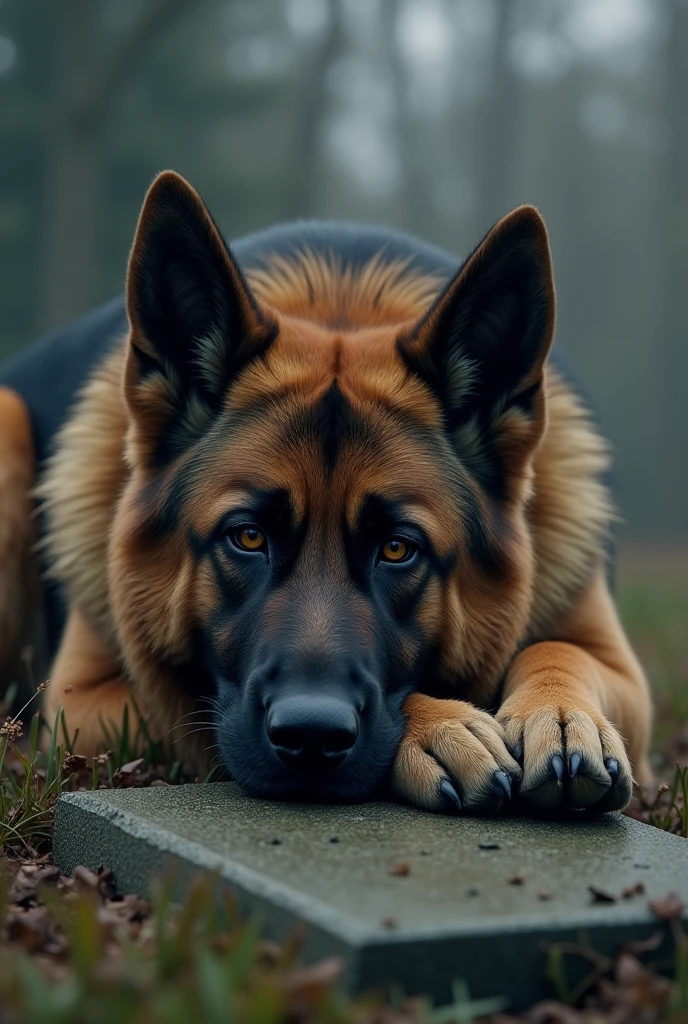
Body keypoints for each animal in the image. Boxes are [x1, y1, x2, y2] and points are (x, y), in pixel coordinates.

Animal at [0, 172, 651, 811]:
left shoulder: (622, 673)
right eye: (247, 537)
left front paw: (559, 715)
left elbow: (560, 651)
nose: (310, 736)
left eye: (398, 548)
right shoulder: (81, 704)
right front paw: (442, 725)